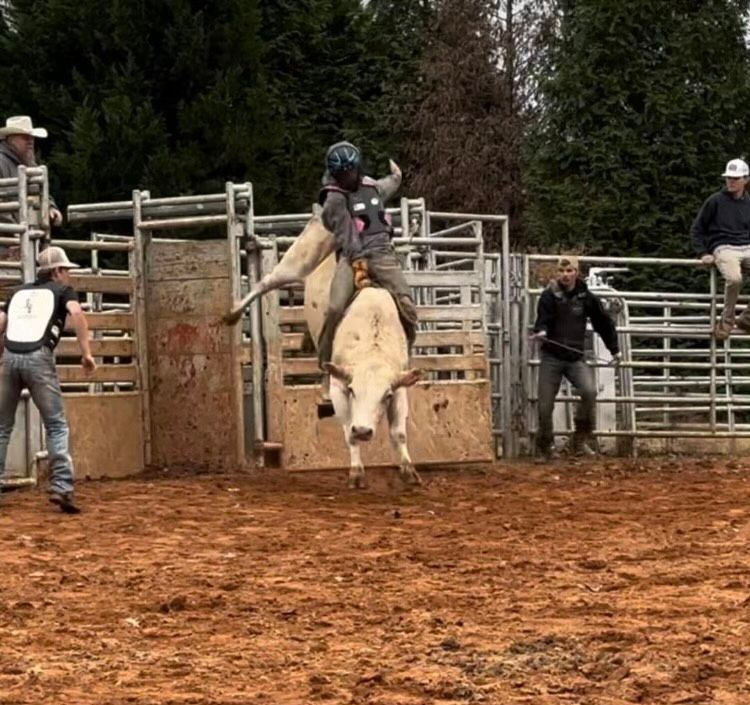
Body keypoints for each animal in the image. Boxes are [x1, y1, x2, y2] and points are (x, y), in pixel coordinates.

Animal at [225, 217, 422, 489]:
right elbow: (348, 432)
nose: (363, 431)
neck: (372, 341)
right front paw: (356, 473)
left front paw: (408, 471)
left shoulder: (400, 386)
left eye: (386, 395)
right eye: (352, 390)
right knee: (267, 281)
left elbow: (399, 433)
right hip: (301, 256)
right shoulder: (341, 386)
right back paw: (232, 313)